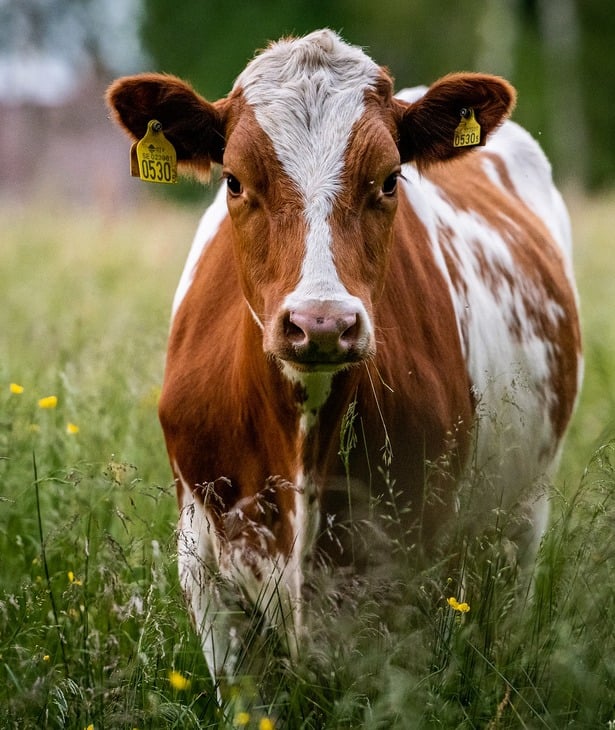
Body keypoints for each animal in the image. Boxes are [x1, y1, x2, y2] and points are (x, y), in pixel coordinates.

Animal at [106, 28, 584, 684]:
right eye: (234, 180)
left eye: (388, 180)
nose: (322, 323)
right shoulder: (205, 570)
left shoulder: (410, 568)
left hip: (523, 515)